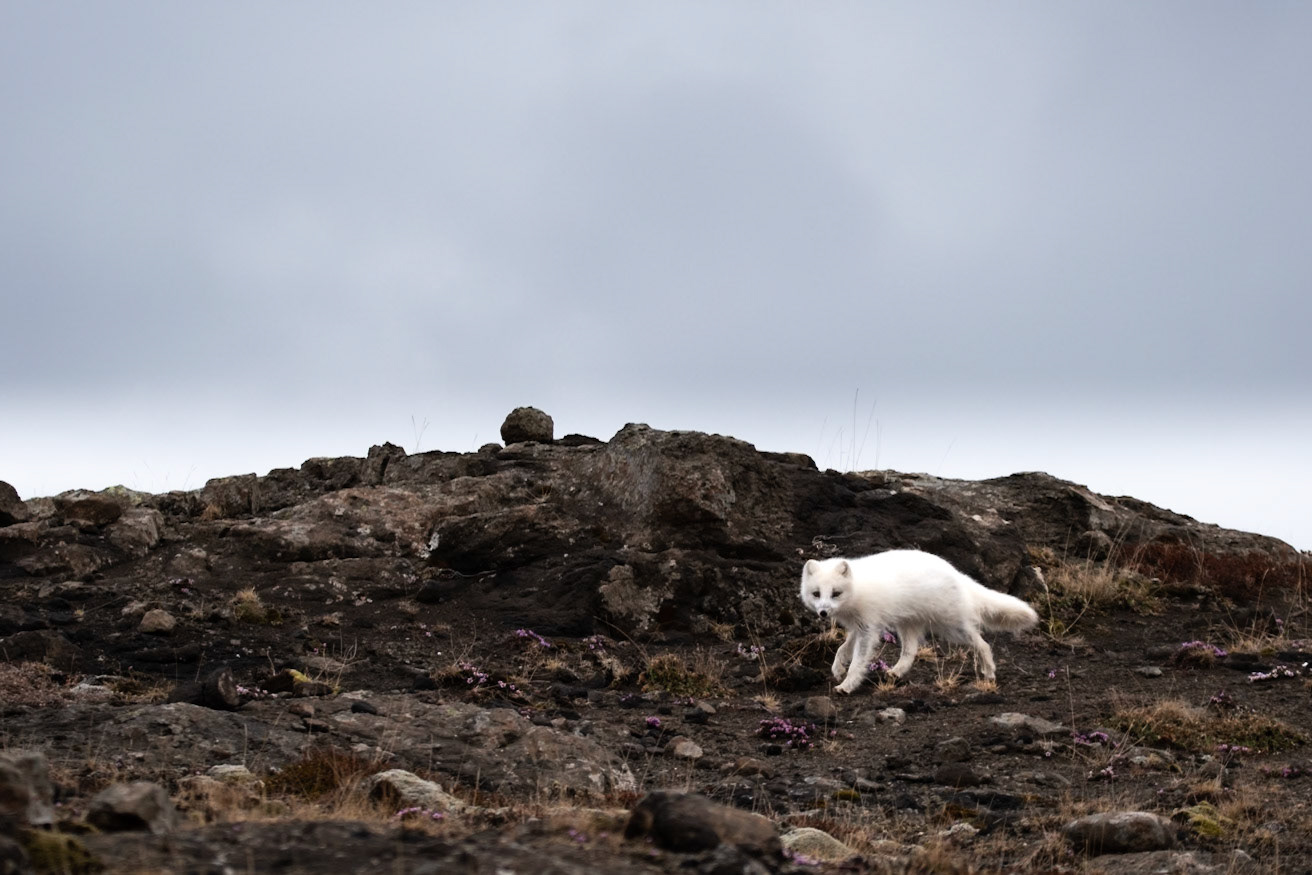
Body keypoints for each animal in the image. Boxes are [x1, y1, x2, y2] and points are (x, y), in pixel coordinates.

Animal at [800, 549, 1038, 693]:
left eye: (836, 593)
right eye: (816, 594)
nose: (823, 613)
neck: (856, 589)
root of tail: (956, 573)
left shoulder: (869, 628)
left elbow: (858, 662)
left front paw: (847, 684)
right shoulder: (859, 628)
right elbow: (842, 649)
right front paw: (838, 668)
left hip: (952, 626)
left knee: (982, 643)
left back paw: (988, 671)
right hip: (907, 625)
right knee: (910, 651)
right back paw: (896, 672)